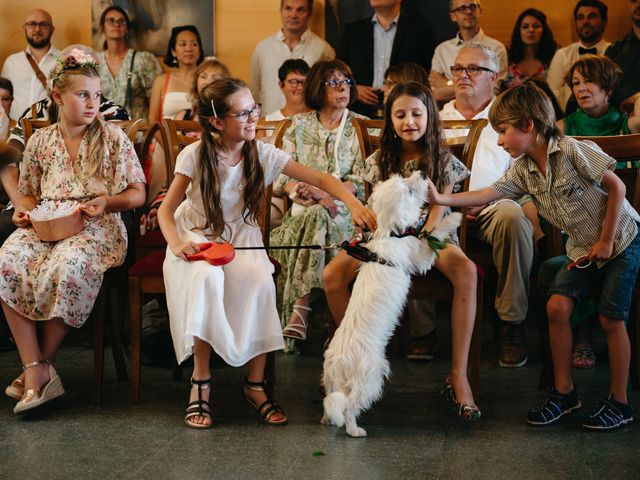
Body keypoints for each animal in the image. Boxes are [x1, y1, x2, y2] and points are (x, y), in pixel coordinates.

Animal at [320, 171, 460, 436]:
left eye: (404, 178)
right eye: (409, 192)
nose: (422, 173)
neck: (390, 233)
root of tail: (341, 361)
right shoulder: (418, 258)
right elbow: (432, 237)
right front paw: (454, 218)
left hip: (331, 378)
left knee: (329, 401)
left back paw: (326, 420)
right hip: (371, 376)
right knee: (350, 406)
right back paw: (355, 430)